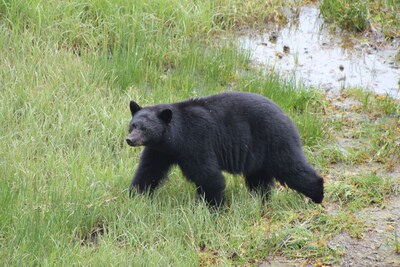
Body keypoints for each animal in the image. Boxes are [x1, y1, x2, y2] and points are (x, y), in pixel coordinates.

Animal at [126, 91, 324, 206]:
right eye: (133, 125)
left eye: (144, 128)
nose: (130, 139)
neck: (174, 138)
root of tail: (286, 116)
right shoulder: (159, 151)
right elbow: (149, 170)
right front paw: (135, 195)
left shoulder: (195, 142)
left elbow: (208, 175)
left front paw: (214, 207)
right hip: (258, 154)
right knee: (259, 179)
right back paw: (260, 199)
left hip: (274, 140)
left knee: (291, 168)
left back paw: (317, 195)